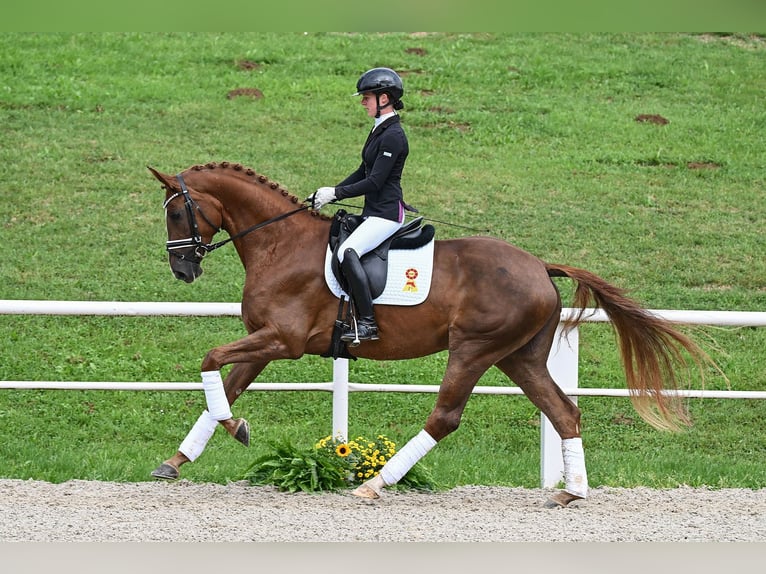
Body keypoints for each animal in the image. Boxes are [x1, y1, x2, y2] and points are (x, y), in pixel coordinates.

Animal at [148, 161, 712, 508]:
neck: (278, 242)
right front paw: (178, 460)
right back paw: (570, 493)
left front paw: (235, 429)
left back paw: (376, 483)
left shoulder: (282, 340)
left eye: (176, 211)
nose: (181, 269)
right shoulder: (266, 342)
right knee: (563, 412)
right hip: (519, 358)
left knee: (445, 417)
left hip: (474, 350)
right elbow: (224, 384)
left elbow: (209, 359)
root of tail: (539, 266)